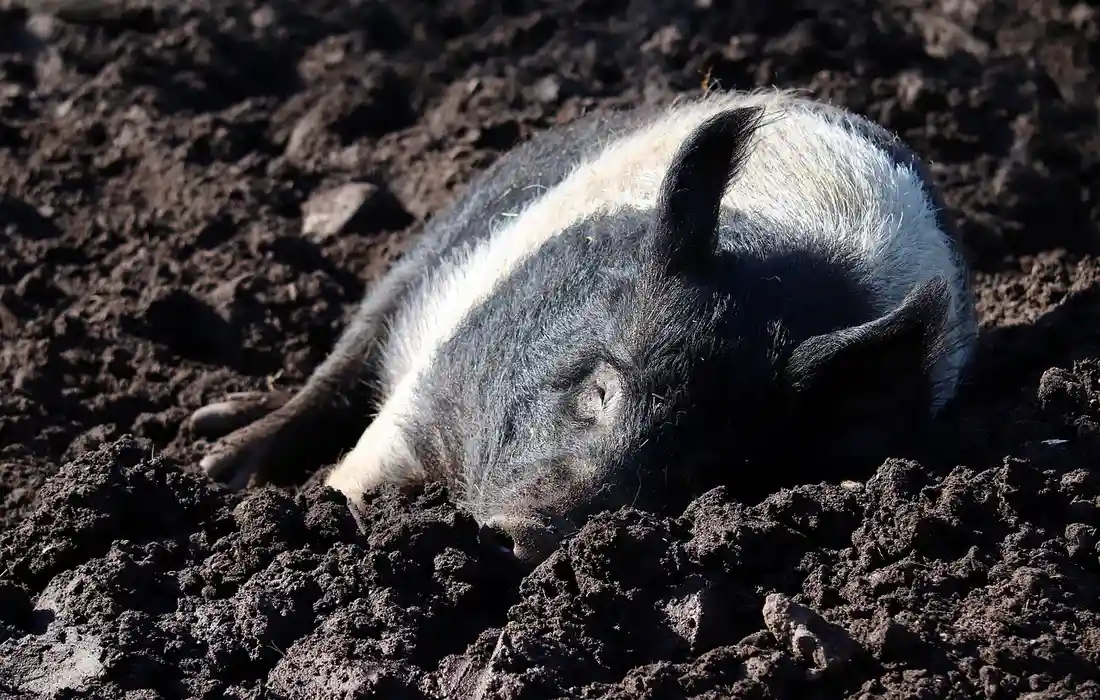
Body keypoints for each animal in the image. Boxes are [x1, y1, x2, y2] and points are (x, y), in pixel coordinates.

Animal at [188, 88, 979, 566]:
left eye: (704, 470)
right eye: (600, 388)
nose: (524, 534)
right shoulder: (443, 369)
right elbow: (362, 466)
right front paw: (323, 509)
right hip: (425, 257)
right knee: (338, 370)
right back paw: (212, 453)